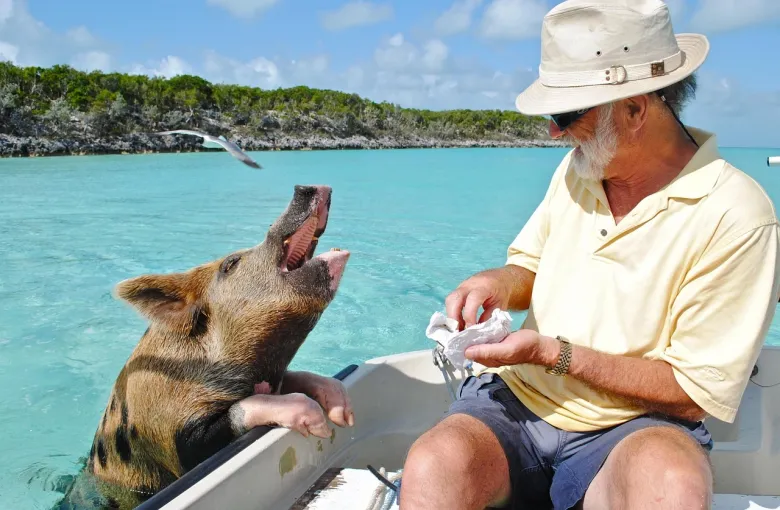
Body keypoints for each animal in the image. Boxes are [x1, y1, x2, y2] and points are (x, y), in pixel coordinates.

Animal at [54, 185, 353, 510]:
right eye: (230, 263)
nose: (305, 187)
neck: (256, 368)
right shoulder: (176, 440)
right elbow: (234, 415)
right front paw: (319, 423)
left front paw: (343, 412)